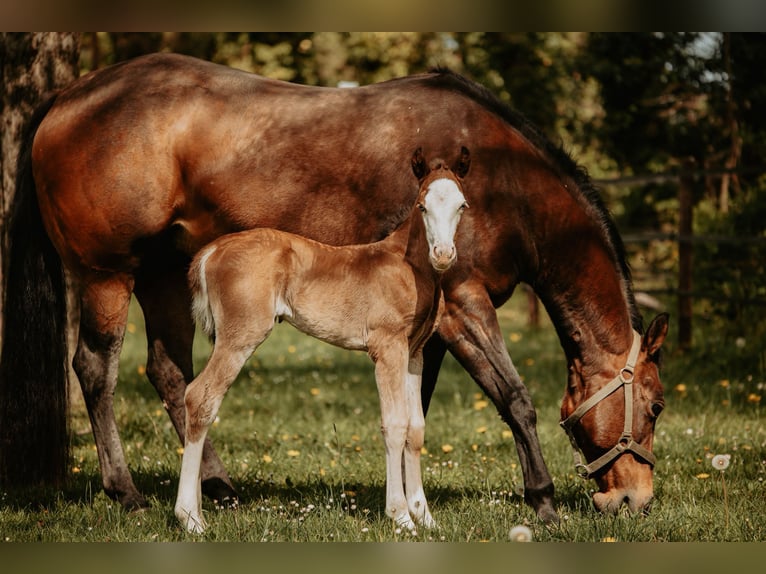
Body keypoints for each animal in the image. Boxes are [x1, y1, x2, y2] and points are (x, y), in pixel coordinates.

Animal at [175, 149, 469, 533]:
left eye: (462, 205)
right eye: (422, 205)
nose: (443, 254)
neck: (409, 266)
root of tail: (210, 252)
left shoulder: (414, 353)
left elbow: (415, 429)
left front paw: (426, 516)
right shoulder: (387, 348)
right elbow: (394, 425)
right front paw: (402, 516)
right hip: (240, 337)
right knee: (200, 397)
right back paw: (190, 518)